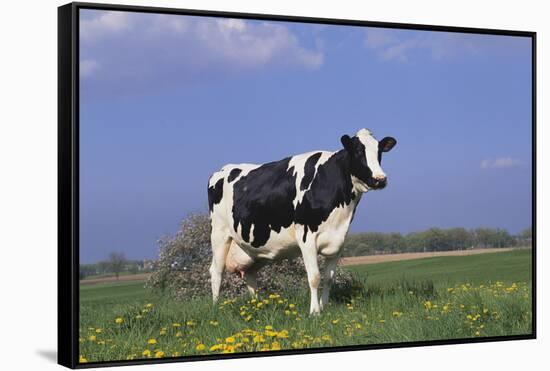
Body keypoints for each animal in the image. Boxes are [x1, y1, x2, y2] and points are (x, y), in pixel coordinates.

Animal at [207, 129, 396, 316]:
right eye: (358, 151)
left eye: (379, 151)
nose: (380, 179)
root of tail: (222, 169)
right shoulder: (307, 236)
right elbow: (314, 277)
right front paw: (315, 312)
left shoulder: (339, 241)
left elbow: (329, 278)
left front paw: (325, 307)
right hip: (219, 233)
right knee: (216, 271)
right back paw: (216, 307)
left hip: (252, 248)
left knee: (250, 275)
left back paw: (257, 305)